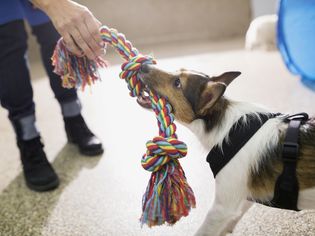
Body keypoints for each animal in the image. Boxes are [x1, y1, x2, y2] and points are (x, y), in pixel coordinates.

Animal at [138, 64, 315, 236]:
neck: (225, 126)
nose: (143, 66)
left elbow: (204, 230)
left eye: (177, 83)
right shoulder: (247, 194)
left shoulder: (221, 208)